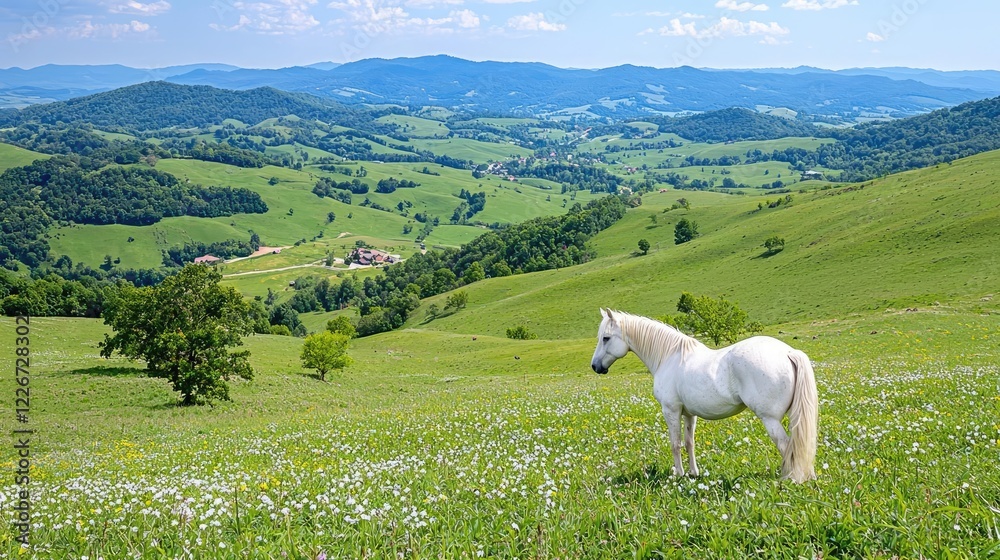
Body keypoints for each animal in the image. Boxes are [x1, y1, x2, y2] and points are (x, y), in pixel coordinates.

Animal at [590, 308, 818, 483]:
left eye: (606, 338)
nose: (595, 366)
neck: (669, 356)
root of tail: (789, 352)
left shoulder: (671, 411)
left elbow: (675, 444)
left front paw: (679, 475)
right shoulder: (689, 414)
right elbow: (689, 443)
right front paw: (693, 473)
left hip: (770, 419)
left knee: (787, 446)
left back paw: (791, 477)